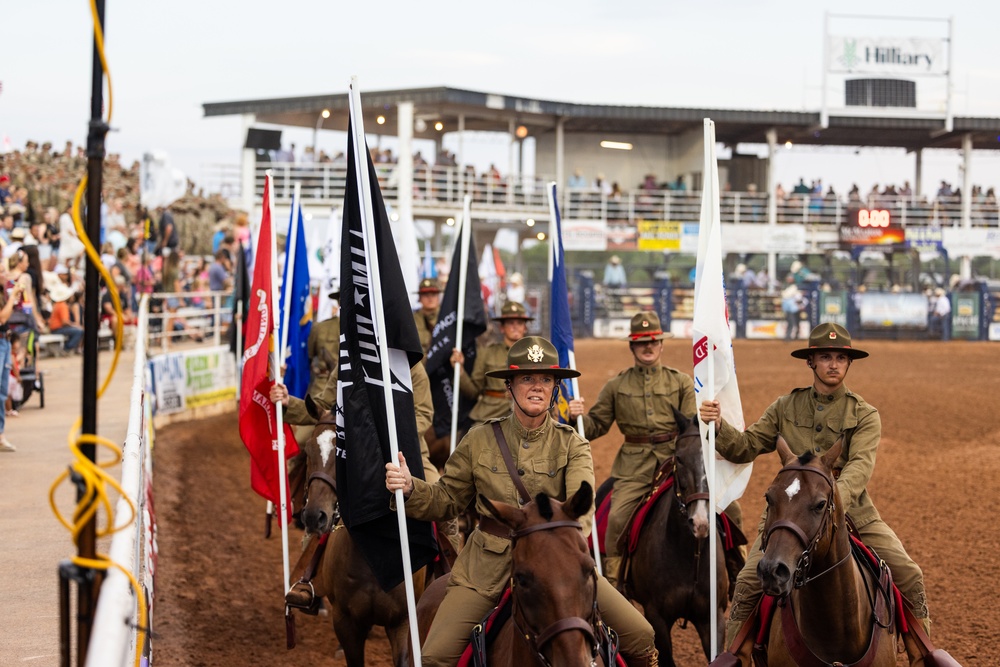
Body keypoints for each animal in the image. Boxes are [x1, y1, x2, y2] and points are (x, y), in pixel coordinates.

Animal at [624, 410, 728, 664]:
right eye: (679, 458)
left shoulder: (713, 618)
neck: (689, 554)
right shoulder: (656, 618)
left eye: (714, 458)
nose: (700, 522)